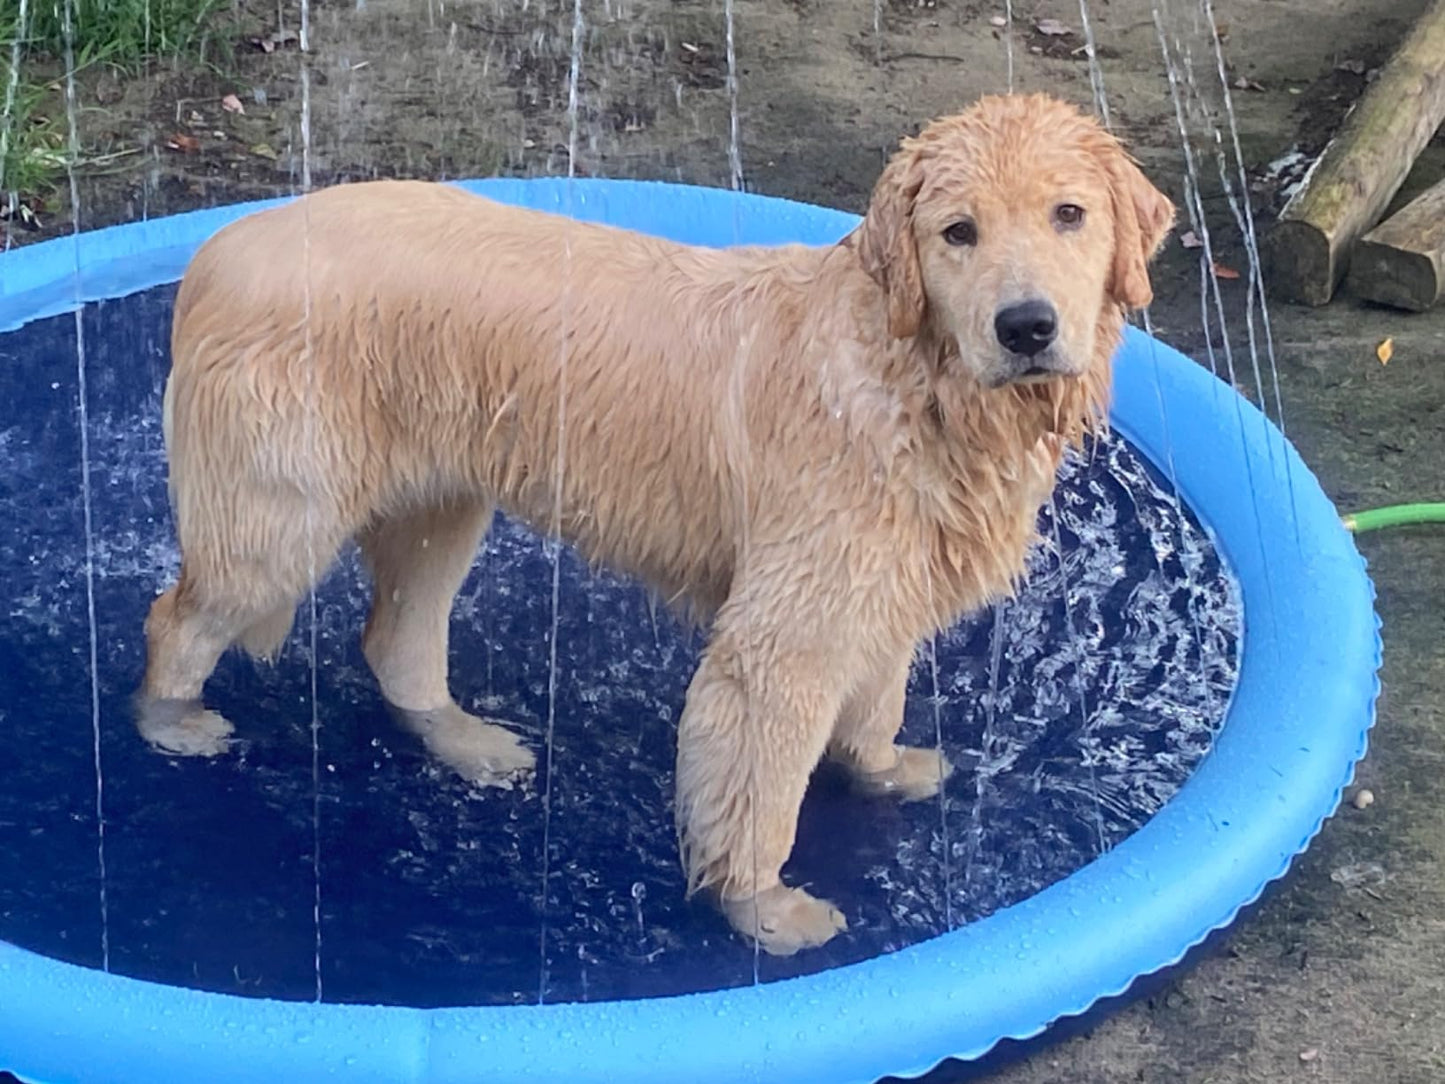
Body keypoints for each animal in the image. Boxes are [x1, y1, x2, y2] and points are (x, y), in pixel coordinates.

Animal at [135, 95, 1173, 959]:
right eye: (958, 232)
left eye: (1069, 215)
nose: (1026, 327)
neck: (915, 378)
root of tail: (219, 248)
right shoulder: (782, 633)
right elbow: (760, 785)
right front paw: (764, 910)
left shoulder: (884, 579)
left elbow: (873, 701)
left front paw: (884, 771)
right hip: (281, 514)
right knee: (179, 616)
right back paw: (172, 727)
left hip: (441, 498)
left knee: (395, 637)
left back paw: (470, 745)